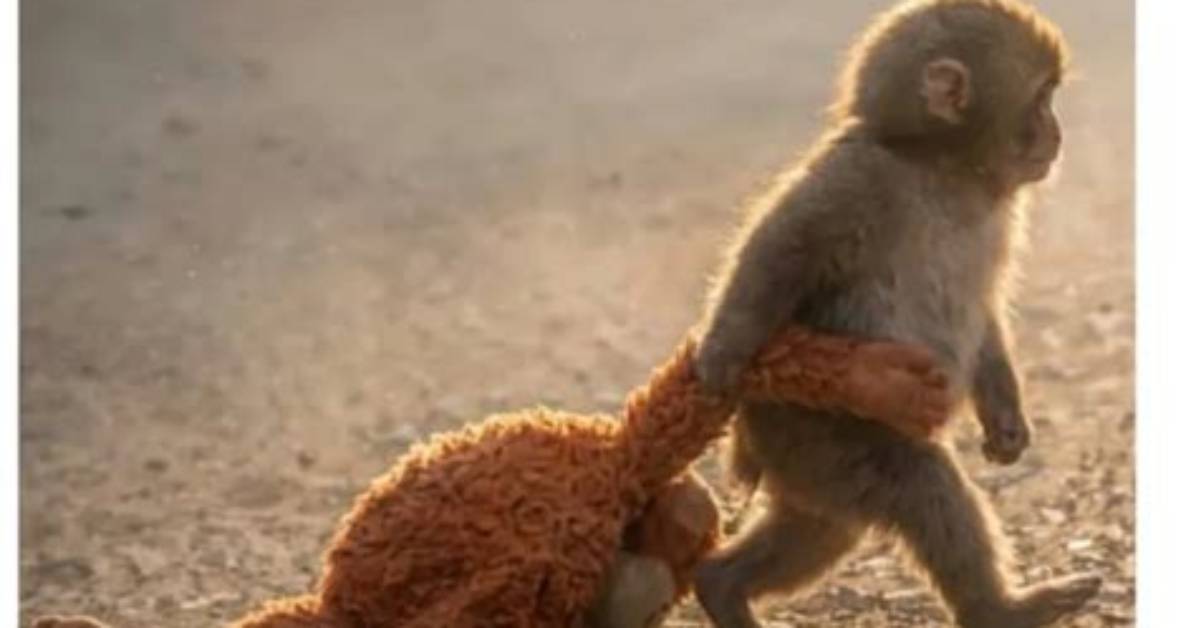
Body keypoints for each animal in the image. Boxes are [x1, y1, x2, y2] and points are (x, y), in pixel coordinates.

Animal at [690, 1, 1101, 627]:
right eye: (1041, 97)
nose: (1057, 133)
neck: (943, 169)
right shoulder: (861, 178)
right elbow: (782, 246)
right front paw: (722, 355)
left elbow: (982, 311)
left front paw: (1006, 419)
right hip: (820, 428)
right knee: (920, 485)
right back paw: (1001, 610)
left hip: (810, 463)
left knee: (824, 524)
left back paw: (721, 584)